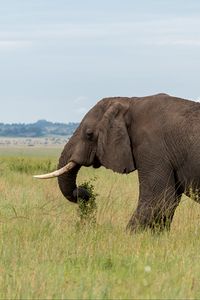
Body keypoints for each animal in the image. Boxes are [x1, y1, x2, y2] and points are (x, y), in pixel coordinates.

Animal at [34, 94, 200, 232]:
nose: (85, 192)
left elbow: (158, 198)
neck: (130, 102)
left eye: (89, 134)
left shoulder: (153, 147)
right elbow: (169, 202)